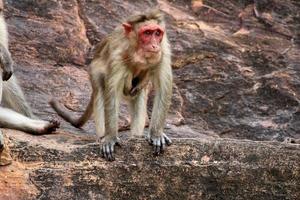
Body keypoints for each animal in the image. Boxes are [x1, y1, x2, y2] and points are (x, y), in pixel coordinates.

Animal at [50, 9, 172, 161]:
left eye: (157, 33)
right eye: (147, 33)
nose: (155, 45)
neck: (136, 50)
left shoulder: (163, 50)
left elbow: (163, 89)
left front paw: (156, 134)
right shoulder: (117, 54)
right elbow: (112, 93)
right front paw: (110, 138)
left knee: (139, 94)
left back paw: (136, 137)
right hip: (94, 71)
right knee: (101, 91)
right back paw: (103, 135)